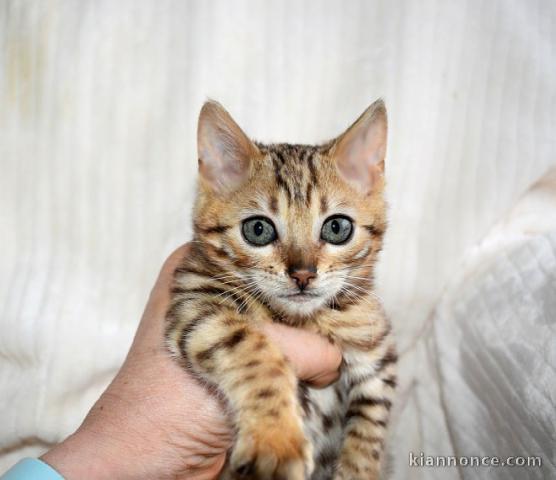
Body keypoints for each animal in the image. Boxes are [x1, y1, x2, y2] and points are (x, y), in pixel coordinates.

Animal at [165, 99, 396, 478]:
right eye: (258, 229)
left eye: (337, 228)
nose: (303, 274)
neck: (305, 321)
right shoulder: (194, 302)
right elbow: (251, 351)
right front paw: (275, 440)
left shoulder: (377, 355)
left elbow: (370, 428)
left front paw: (357, 467)